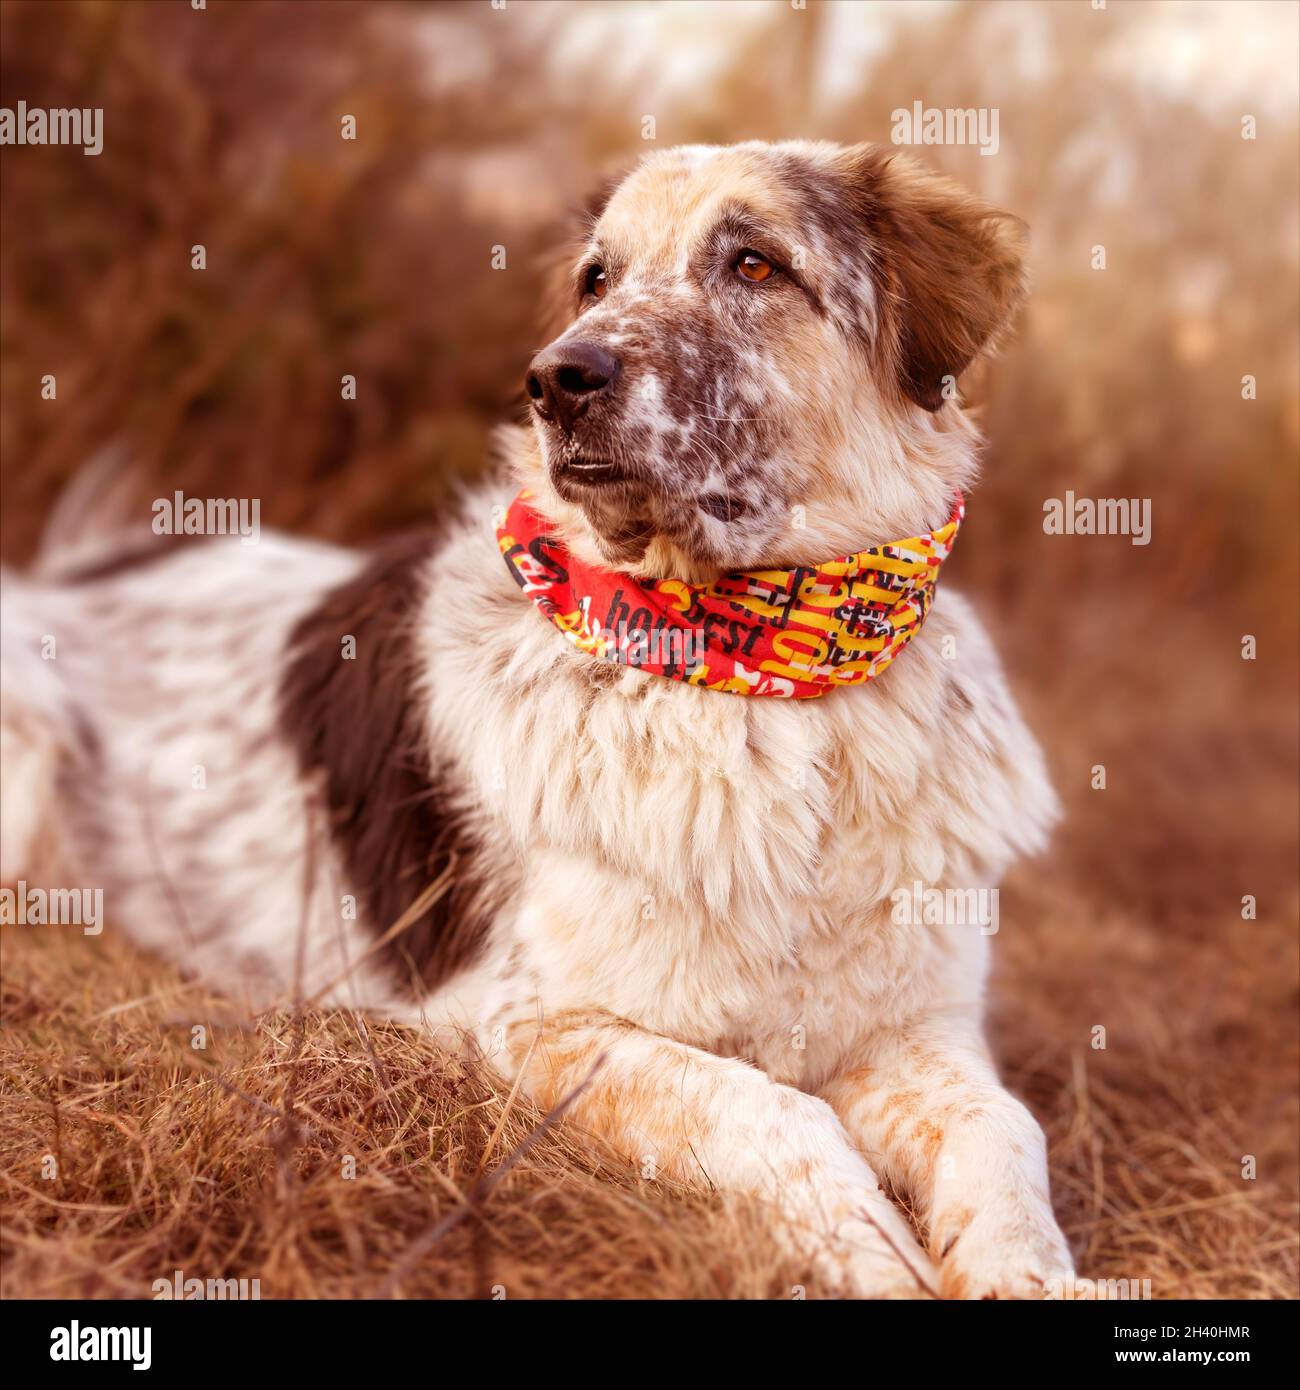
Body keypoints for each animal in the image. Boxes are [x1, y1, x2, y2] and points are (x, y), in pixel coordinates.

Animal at [0, 143, 1073, 1301]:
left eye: (755, 263)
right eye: (596, 280)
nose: (557, 377)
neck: (763, 677)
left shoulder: (915, 1028)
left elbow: (1004, 1129)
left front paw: (1025, 1273)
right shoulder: (526, 1022)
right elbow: (765, 1107)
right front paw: (873, 1254)